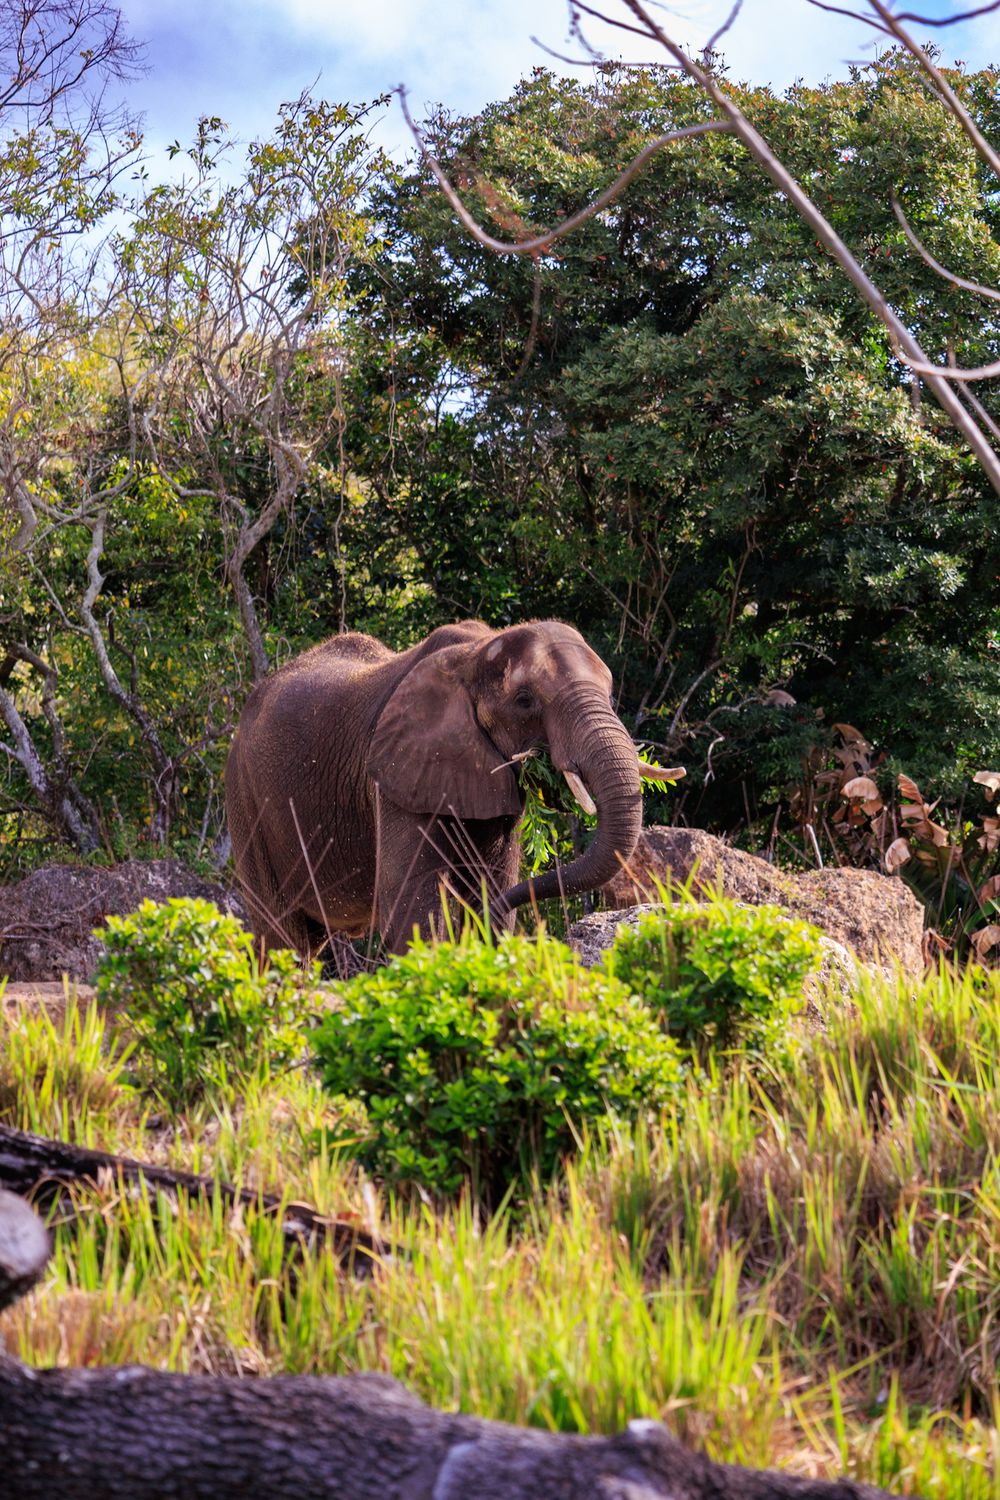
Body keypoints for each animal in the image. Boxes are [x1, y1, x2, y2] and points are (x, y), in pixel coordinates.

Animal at [225, 619, 683, 959]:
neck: (475, 653)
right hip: (244, 798)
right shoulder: (395, 774)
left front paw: (488, 921)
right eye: (524, 700)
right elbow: (411, 906)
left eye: (609, 690)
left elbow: (491, 885)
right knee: (283, 939)